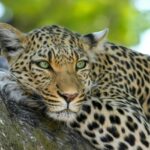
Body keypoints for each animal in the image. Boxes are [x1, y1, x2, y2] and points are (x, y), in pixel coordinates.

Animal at [0, 22, 149, 150]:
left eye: (80, 65)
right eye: (43, 65)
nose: (69, 96)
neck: (99, 69)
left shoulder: (138, 124)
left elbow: (86, 103)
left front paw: (13, 84)